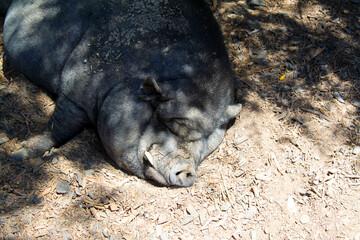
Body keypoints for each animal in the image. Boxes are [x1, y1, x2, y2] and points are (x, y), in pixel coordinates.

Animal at [3, 0, 242, 188]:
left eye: (207, 137)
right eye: (163, 120)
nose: (186, 169)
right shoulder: (76, 91)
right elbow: (60, 127)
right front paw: (19, 154)